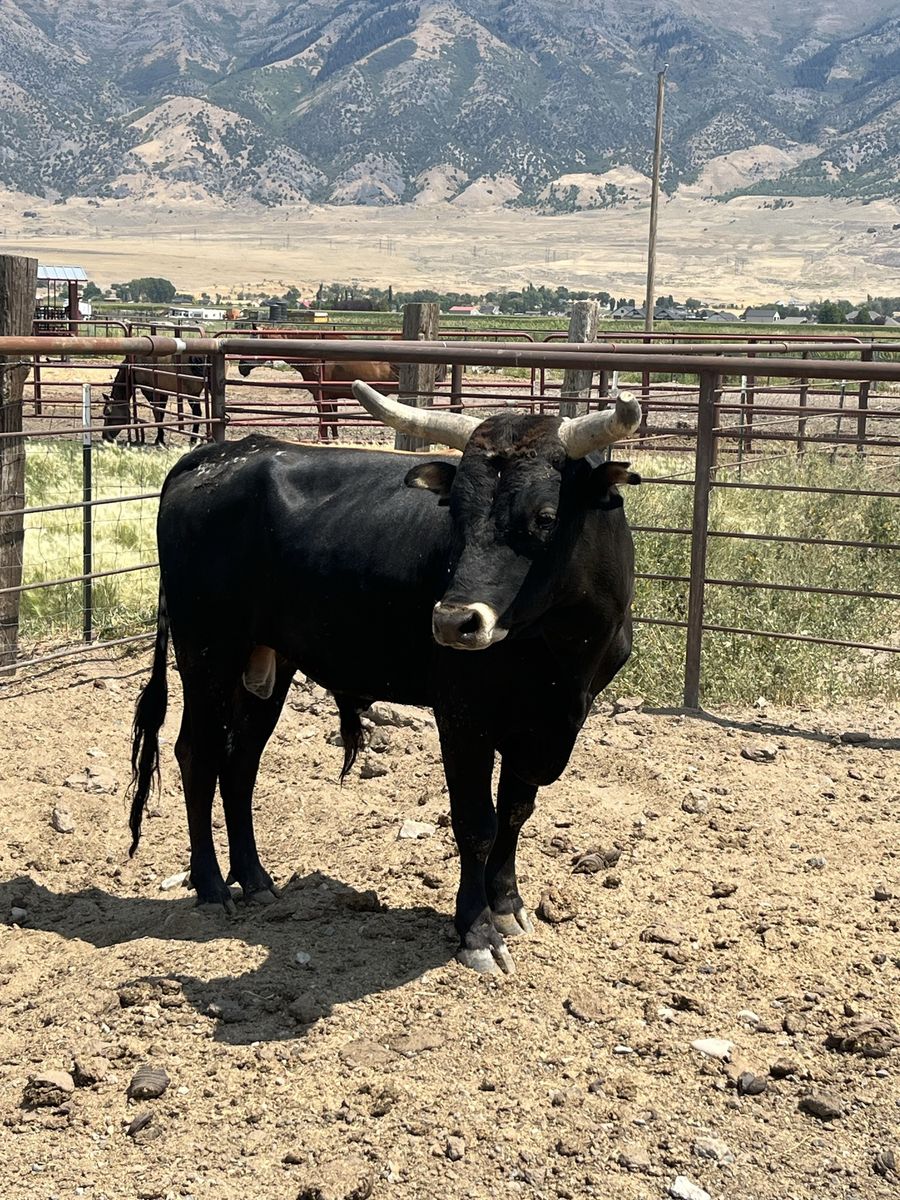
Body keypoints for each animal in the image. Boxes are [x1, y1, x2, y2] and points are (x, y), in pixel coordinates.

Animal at [127, 383, 641, 974]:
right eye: (455, 513)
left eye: (546, 516)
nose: (453, 622)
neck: (563, 650)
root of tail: (217, 454)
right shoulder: (463, 712)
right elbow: (476, 822)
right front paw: (477, 931)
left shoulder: (545, 723)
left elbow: (516, 810)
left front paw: (507, 903)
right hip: (206, 653)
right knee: (199, 754)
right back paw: (212, 887)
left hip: (267, 667)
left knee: (240, 764)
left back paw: (254, 880)